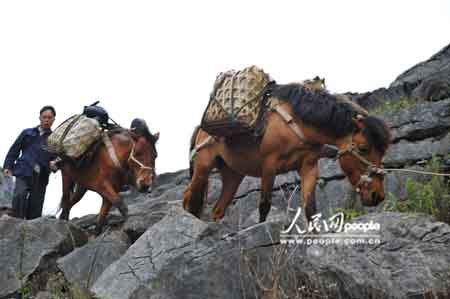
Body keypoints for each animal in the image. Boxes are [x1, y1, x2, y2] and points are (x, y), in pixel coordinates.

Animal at [183, 83, 390, 224]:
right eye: (363, 149)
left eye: (382, 153)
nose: (377, 195)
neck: (297, 123)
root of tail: (200, 129)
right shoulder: (269, 165)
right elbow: (264, 205)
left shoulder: (309, 167)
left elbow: (310, 209)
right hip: (202, 167)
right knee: (189, 198)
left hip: (233, 175)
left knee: (218, 209)